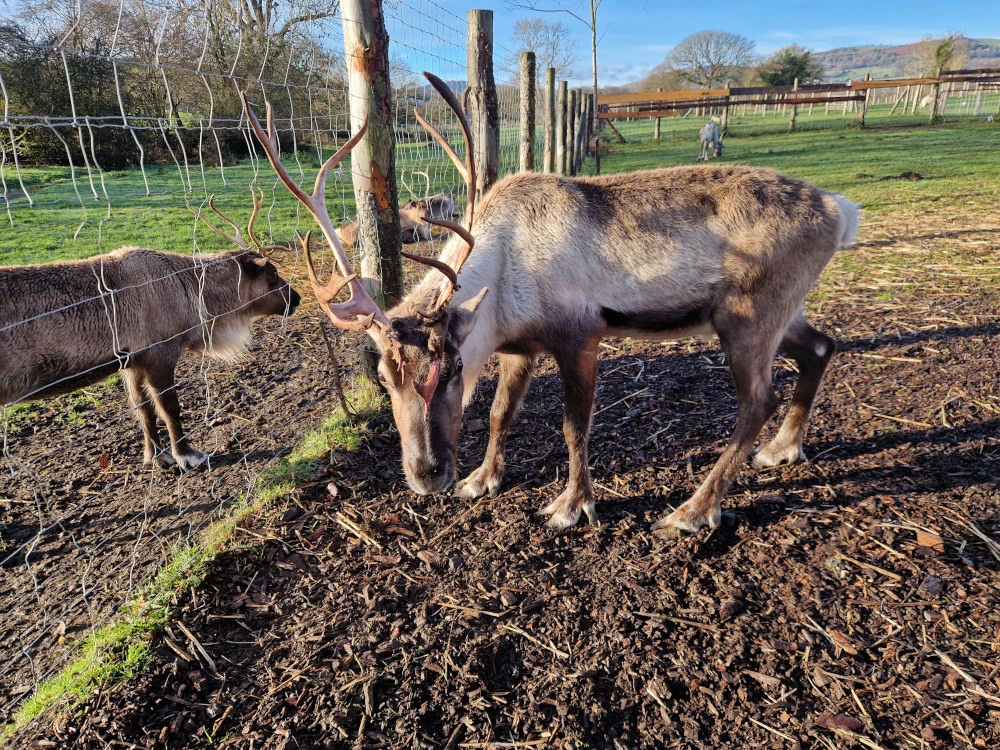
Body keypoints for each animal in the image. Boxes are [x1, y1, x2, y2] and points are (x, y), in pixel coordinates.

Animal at [0, 190, 301, 470]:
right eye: (273, 274)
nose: (296, 298)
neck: (190, 288)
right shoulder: (160, 355)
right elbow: (170, 409)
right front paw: (186, 455)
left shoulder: (132, 363)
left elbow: (143, 411)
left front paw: (155, 456)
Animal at [242, 72, 860, 535]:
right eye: (384, 376)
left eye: (454, 365)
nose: (427, 474)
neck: (505, 271)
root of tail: (839, 209)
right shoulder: (522, 347)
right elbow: (500, 413)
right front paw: (481, 480)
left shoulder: (580, 337)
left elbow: (573, 425)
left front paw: (571, 506)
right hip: (783, 312)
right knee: (821, 348)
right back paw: (782, 450)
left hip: (747, 319)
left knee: (756, 401)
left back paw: (692, 510)